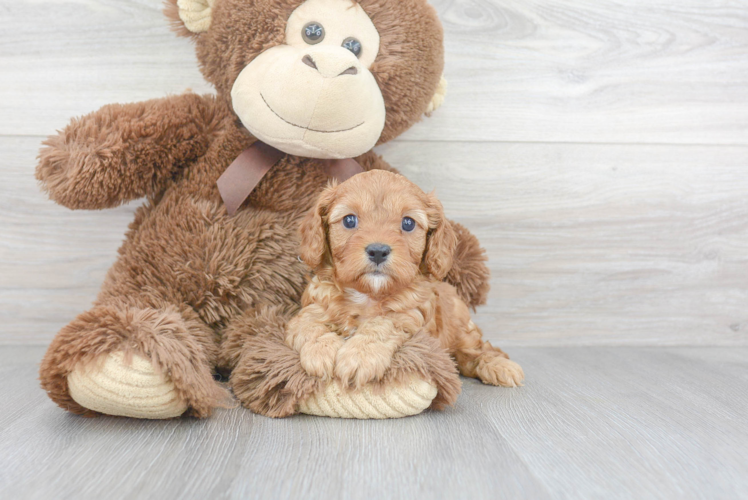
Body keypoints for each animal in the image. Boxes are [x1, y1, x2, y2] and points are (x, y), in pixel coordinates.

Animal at [286, 172, 524, 390]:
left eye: (408, 223)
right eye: (349, 220)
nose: (378, 251)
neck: (368, 294)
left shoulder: (410, 315)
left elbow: (381, 324)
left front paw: (360, 355)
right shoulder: (315, 305)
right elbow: (308, 324)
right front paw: (320, 351)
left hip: (463, 331)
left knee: (478, 350)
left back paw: (500, 366)